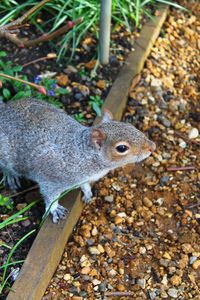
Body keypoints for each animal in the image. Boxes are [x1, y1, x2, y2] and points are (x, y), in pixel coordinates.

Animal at [0, 99, 156, 223]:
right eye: (122, 148)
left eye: (131, 127)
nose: (152, 147)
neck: (83, 153)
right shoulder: (50, 179)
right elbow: (50, 196)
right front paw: (54, 209)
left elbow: (84, 184)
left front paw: (87, 192)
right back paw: (10, 176)